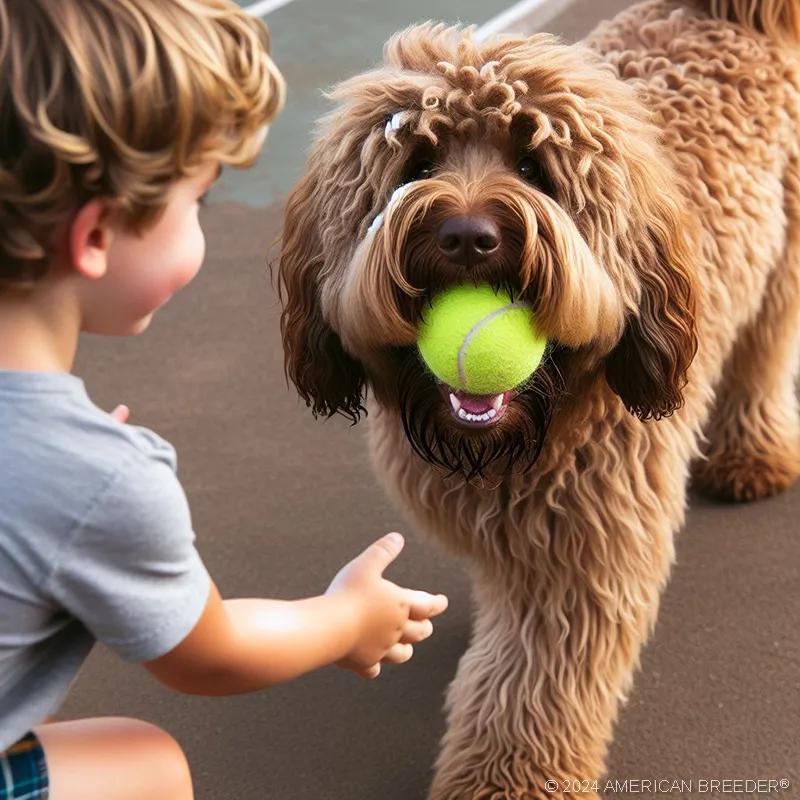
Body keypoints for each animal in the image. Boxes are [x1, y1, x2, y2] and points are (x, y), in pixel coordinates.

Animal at [276, 3, 800, 796]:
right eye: (416, 163)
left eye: (535, 169)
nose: (467, 236)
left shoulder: (586, 545)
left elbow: (534, 681)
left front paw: (506, 779)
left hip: (783, 256)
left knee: (765, 352)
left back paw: (753, 454)